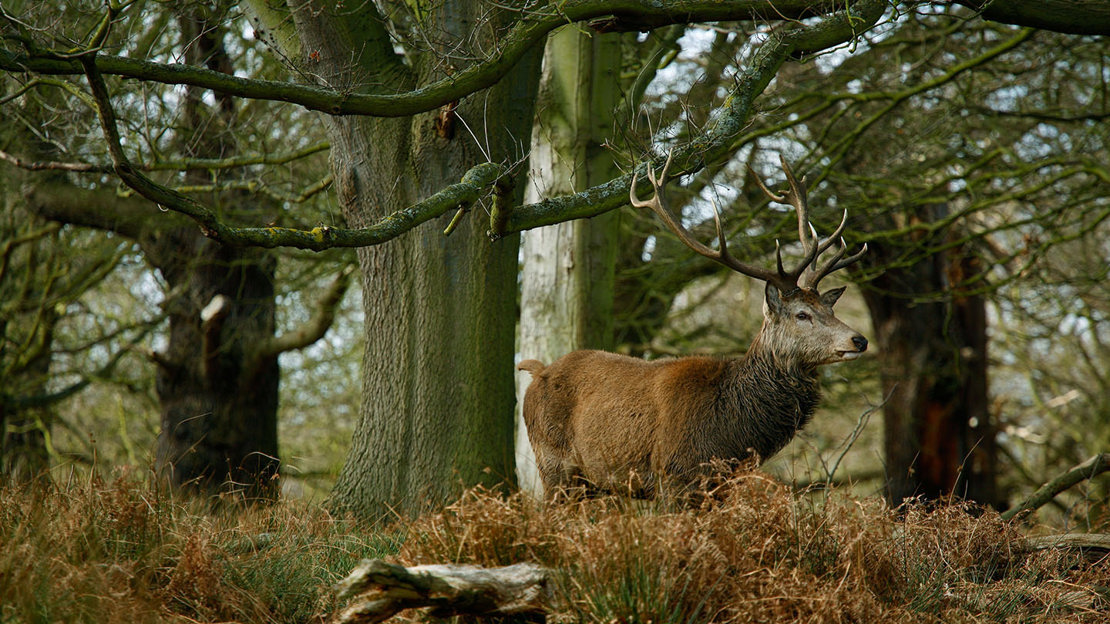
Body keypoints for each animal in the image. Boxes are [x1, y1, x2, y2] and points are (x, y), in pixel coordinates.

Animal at [517, 153, 869, 500]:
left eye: (829, 307)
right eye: (801, 314)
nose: (859, 340)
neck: (730, 434)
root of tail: (538, 372)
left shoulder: (720, 485)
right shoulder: (673, 475)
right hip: (554, 465)